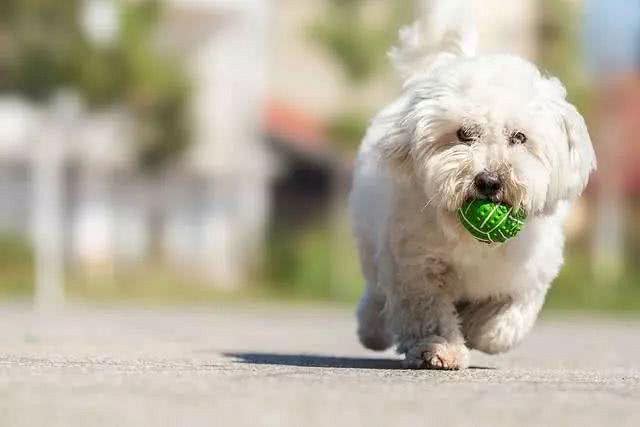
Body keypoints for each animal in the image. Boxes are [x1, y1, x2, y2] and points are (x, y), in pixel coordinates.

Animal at [350, 0, 596, 372]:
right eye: (463, 134)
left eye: (519, 137)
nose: (489, 181)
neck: (472, 243)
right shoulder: (415, 264)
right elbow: (428, 310)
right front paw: (439, 347)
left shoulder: (531, 272)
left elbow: (505, 323)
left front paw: (480, 328)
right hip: (372, 241)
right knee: (377, 290)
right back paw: (373, 329)